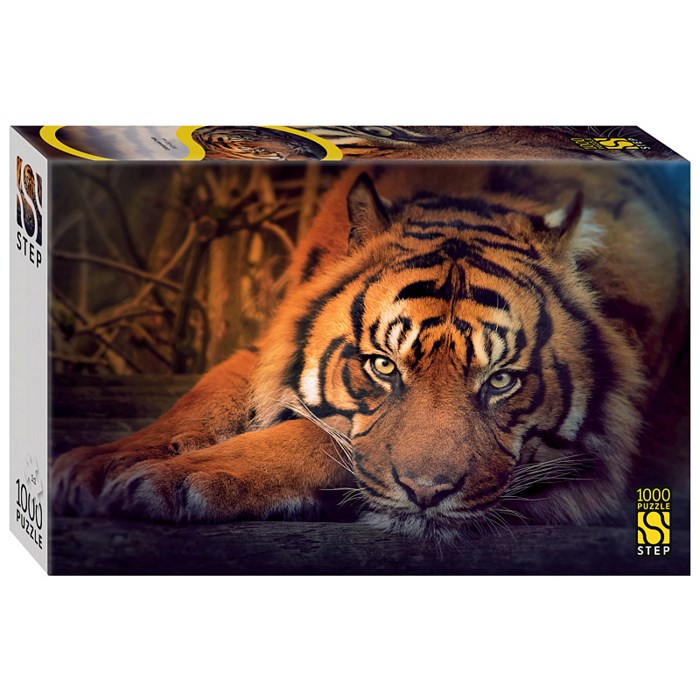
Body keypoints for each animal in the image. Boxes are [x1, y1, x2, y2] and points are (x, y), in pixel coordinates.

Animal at [51, 163, 689, 539]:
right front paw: (99, 464)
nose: (428, 496)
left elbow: (317, 437)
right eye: (383, 366)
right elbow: (204, 398)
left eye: (501, 381)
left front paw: (170, 478)